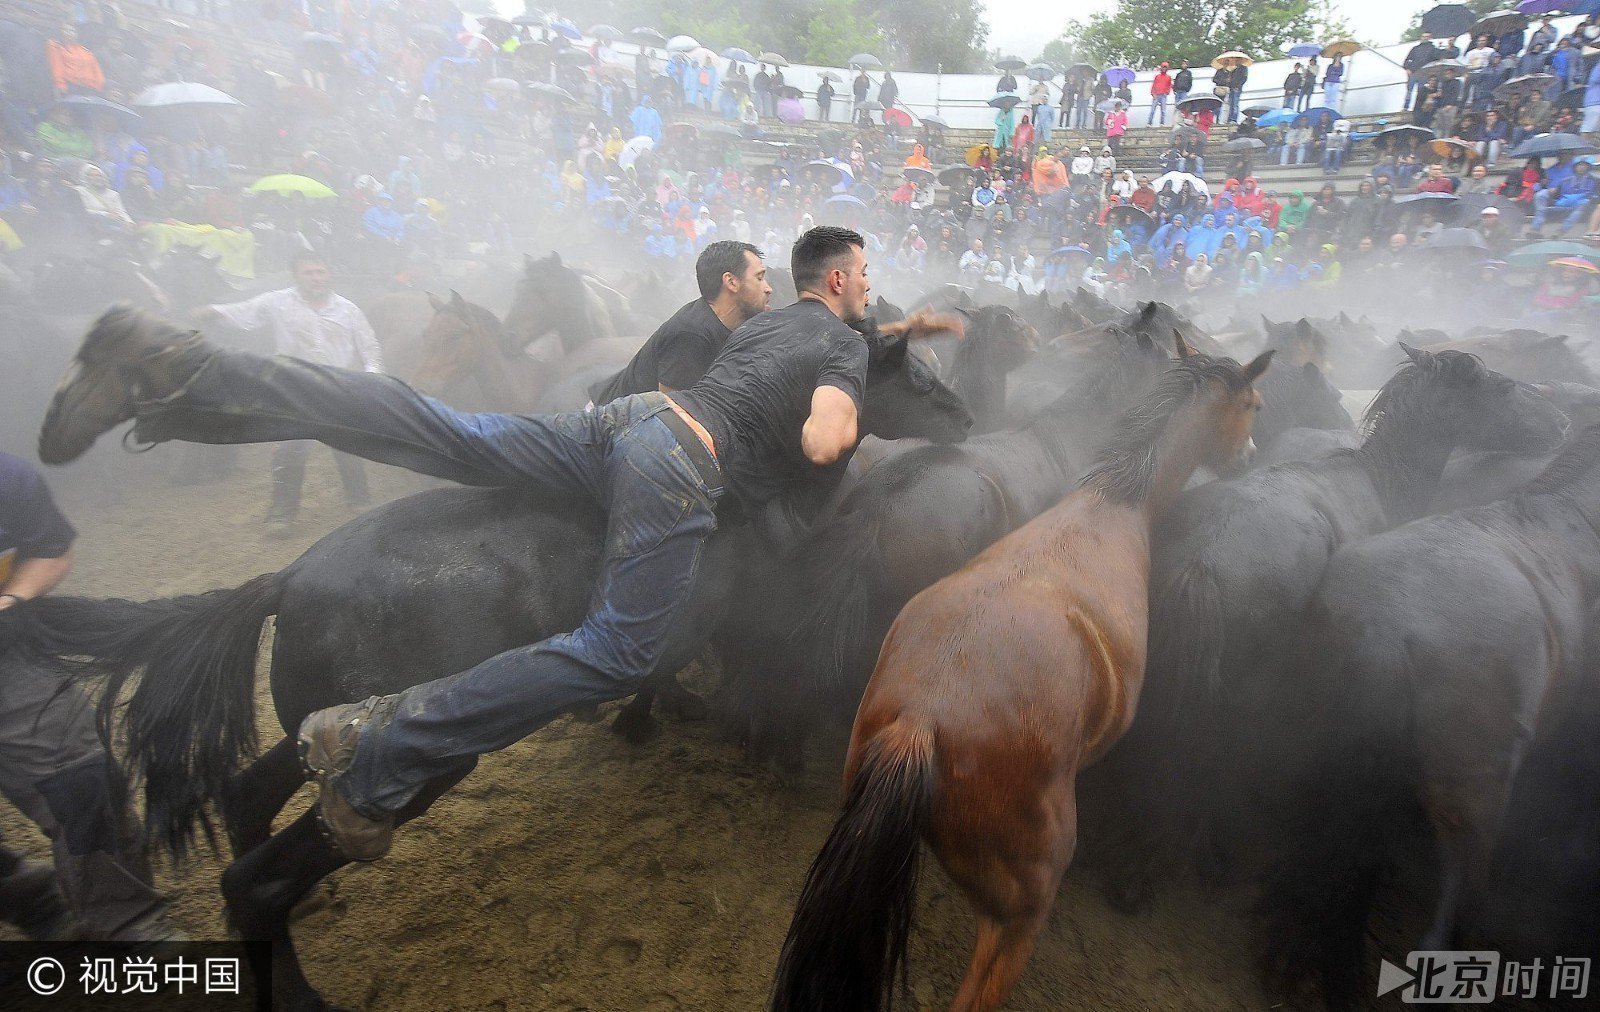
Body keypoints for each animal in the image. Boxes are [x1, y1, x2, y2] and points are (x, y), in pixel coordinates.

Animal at [12, 320, 966, 1005]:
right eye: (915, 374)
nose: (964, 416)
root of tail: (288, 578)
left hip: (308, 725)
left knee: (249, 798)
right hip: (424, 764)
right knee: (254, 880)